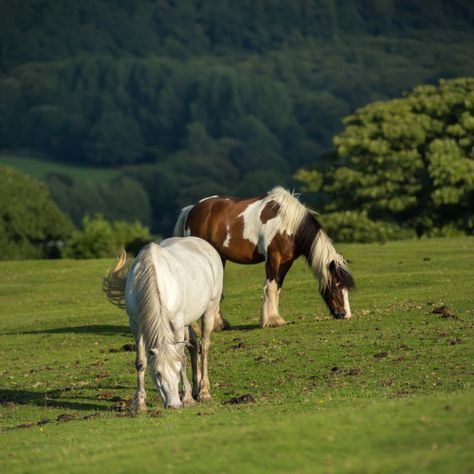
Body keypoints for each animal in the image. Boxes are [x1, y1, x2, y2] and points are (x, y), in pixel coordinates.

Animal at [102, 237, 224, 412]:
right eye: (157, 373)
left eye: (177, 371)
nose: (174, 405)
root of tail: (205, 244)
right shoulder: (136, 325)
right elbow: (141, 362)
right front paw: (139, 403)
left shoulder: (177, 324)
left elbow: (182, 358)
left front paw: (187, 399)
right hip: (188, 319)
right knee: (193, 344)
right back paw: (196, 389)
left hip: (210, 309)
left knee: (204, 345)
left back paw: (204, 392)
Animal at [172, 186, 354, 330]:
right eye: (336, 285)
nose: (345, 314)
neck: (288, 224)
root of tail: (192, 209)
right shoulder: (273, 257)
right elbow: (270, 287)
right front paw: (272, 320)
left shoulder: (287, 262)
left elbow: (278, 287)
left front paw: (275, 318)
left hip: (219, 258)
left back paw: (219, 324)